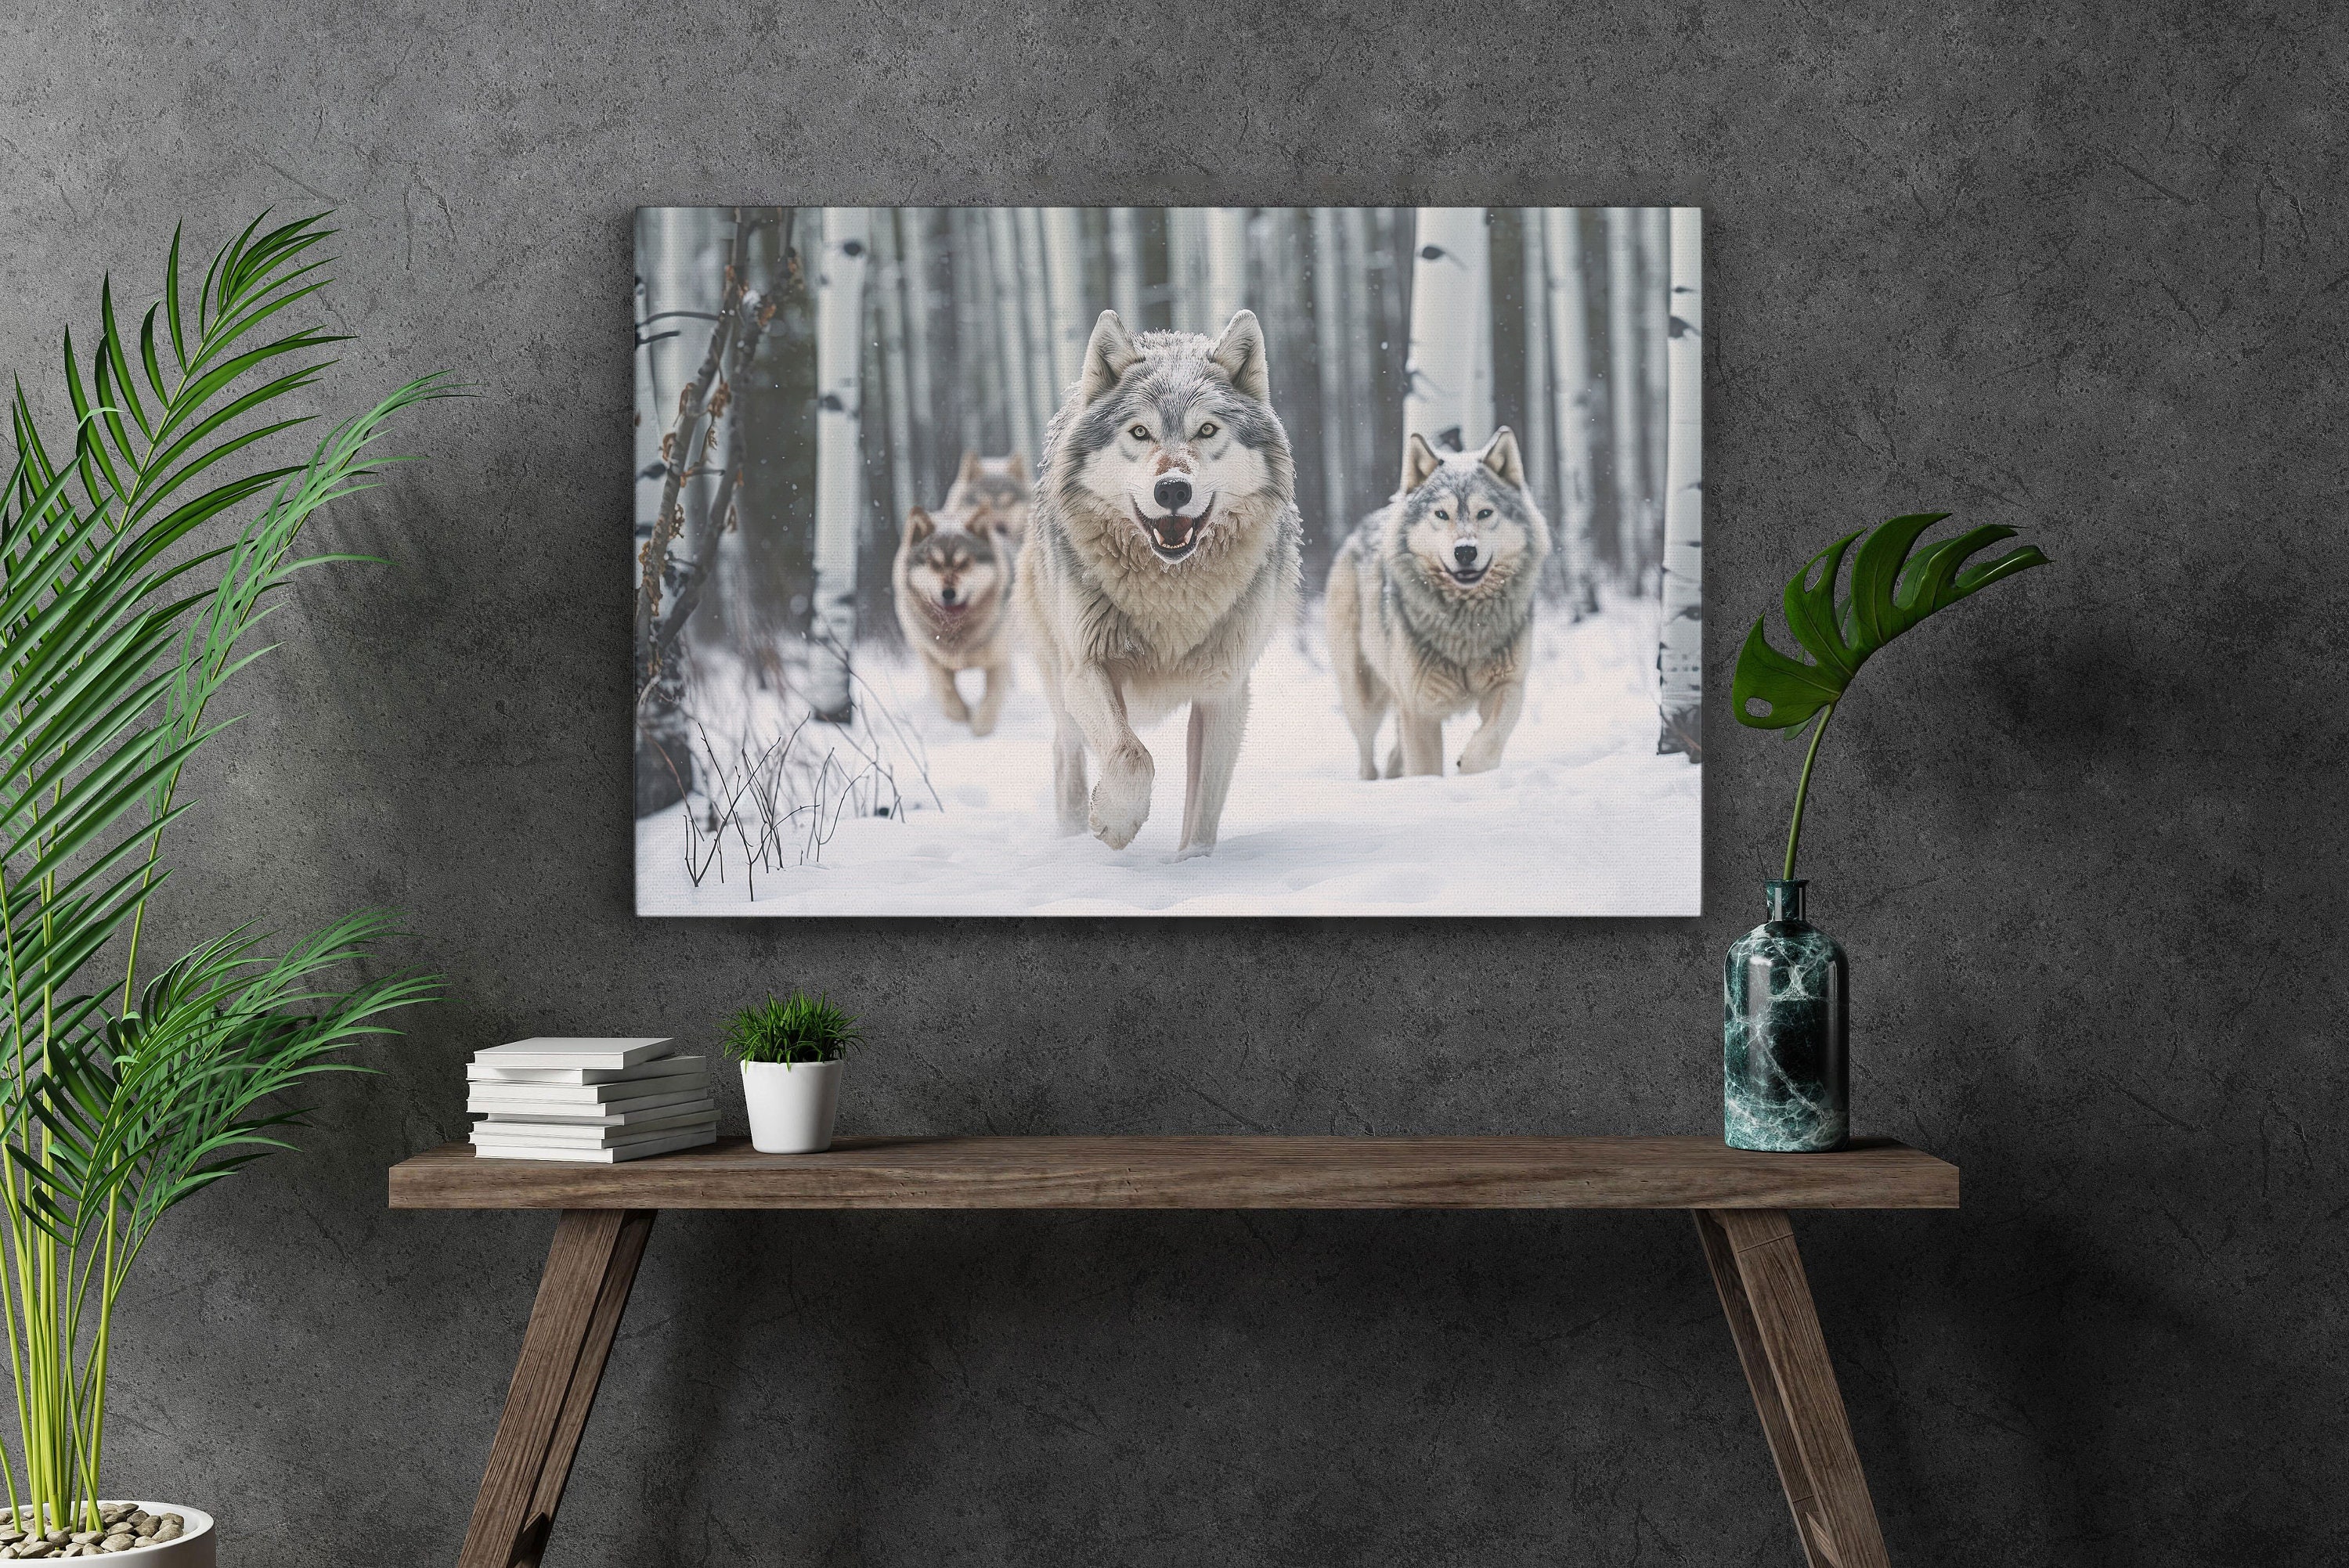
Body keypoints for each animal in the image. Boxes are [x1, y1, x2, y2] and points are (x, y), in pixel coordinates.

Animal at [892, 505, 1016, 735]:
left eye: (964, 563)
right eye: (934, 564)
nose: (949, 593)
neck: (956, 633)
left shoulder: (998, 659)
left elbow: (992, 699)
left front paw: (980, 728)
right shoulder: (931, 658)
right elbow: (946, 692)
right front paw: (960, 717)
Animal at [1015, 308, 1301, 856]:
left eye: (1207, 429)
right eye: (1140, 432)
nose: (1172, 489)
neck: (1171, 594)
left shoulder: (1224, 692)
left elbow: (1203, 810)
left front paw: (1192, 864)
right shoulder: (1085, 668)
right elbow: (1132, 756)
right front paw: (1115, 822)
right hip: (1058, 677)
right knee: (1068, 749)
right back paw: (1071, 832)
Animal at [1324, 428, 1549, 778]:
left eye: (1485, 513)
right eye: (1441, 514)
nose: (1465, 551)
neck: (1467, 623)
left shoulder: (1508, 685)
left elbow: (1492, 736)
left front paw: (1470, 766)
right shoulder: (1420, 708)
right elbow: (1425, 769)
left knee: (1394, 754)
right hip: (1363, 699)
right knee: (1367, 755)